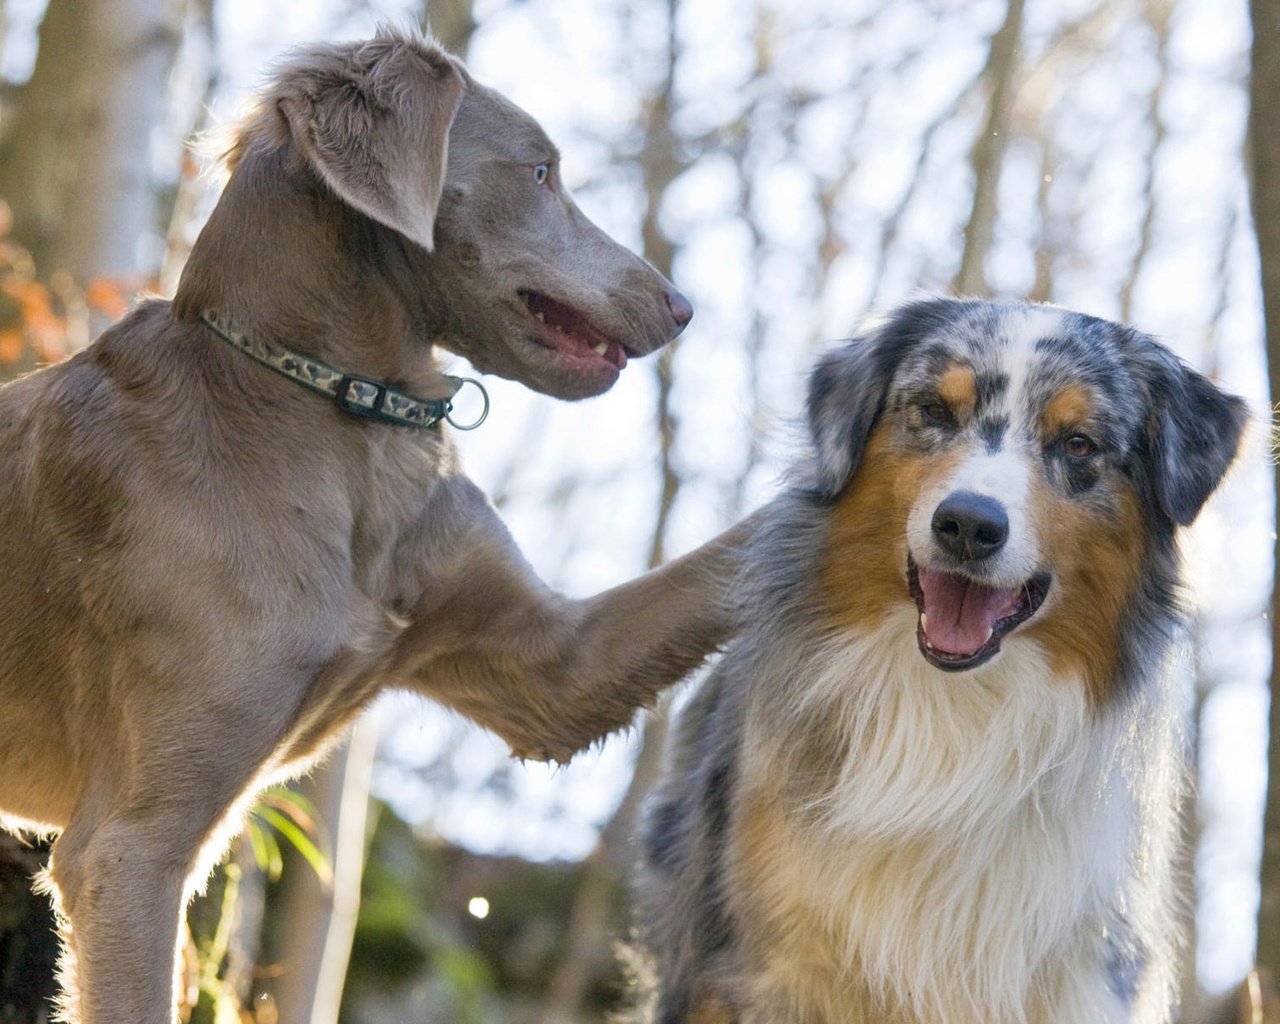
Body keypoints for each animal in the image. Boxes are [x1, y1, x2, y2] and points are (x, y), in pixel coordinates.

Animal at [0, 28, 747, 1018]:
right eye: (541, 171)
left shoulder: (550, 666)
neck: (332, 412)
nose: (682, 308)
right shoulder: (129, 845)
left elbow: (733, 558)